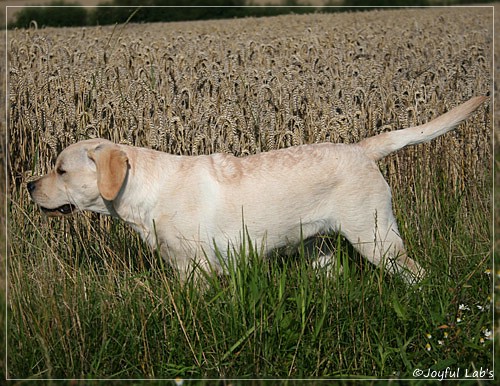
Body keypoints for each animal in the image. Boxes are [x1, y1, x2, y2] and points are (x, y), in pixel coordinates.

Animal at [27, 96, 484, 284]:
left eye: (60, 169)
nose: (29, 185)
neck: (143, 192)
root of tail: (360, 148)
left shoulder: (198, 270)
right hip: (320, 250)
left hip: (376, 239)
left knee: (418, 275)